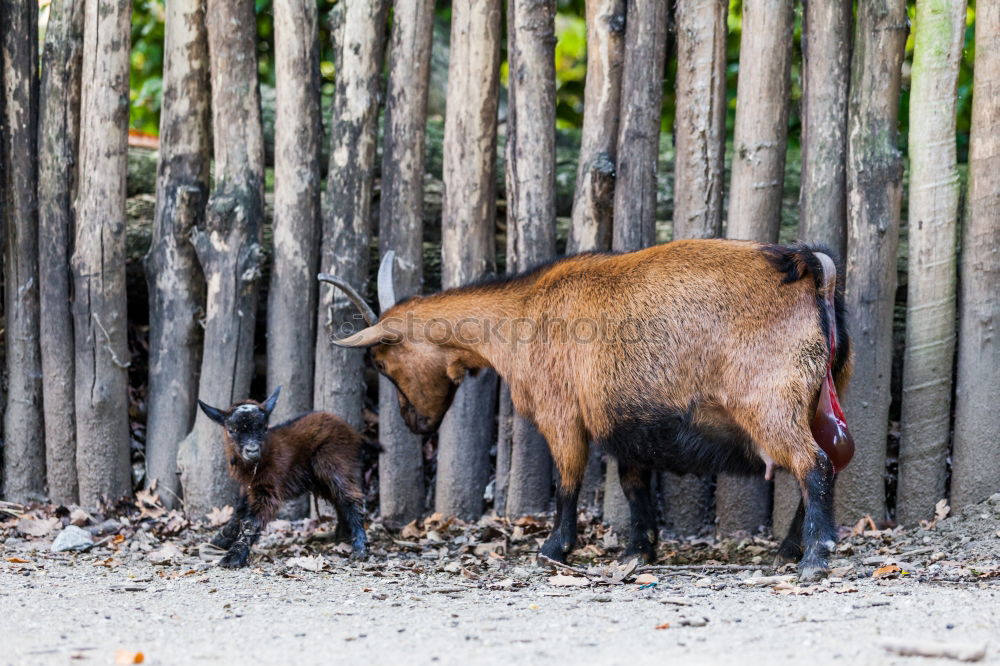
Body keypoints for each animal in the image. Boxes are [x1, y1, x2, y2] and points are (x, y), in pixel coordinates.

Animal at [197, 386, 370, 568]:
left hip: (333, 460)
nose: (252, 451)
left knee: (350, 496)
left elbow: (252, 521)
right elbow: (240, 510)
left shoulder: (268, 488)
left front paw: (234, 556)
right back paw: (342, 536)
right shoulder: (249, 485)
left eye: (264, 428)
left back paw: (360, 548)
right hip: (320, 479)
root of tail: (352, 432)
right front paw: (220, 540)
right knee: (339, 499)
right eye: (232, 430)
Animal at [322, 239, 852, 576]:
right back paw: (789, 549)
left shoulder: (562, 413)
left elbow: (568, 482)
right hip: (818, 401)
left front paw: (553, 550)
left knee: (813, 465)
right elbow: (633, 485)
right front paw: (638, 551)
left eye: (382, 362)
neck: (521, 313)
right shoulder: (628, 422)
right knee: (824, 463)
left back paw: (813, 559)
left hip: (770, 404)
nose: (415, 423)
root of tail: (814, 273)